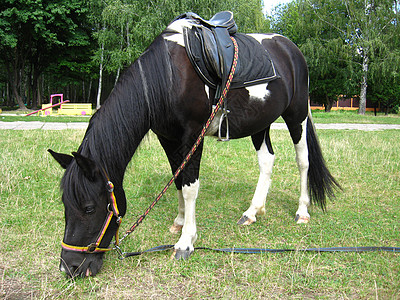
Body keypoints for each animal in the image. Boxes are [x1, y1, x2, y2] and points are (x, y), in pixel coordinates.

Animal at [48, 14, 340, 276]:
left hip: (296, 115)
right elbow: (177, 179)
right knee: (267, 161)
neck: (167, 78)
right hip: (260, 123)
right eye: (64, 204)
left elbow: (189, 187)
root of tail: (290, 48)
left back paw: (302, 211)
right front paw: (179, 222)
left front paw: (186, 242)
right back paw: (253, 211)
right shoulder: (168, 138)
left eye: (89, 208)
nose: (70, 267)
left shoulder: (192, 135)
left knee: (303, 161)